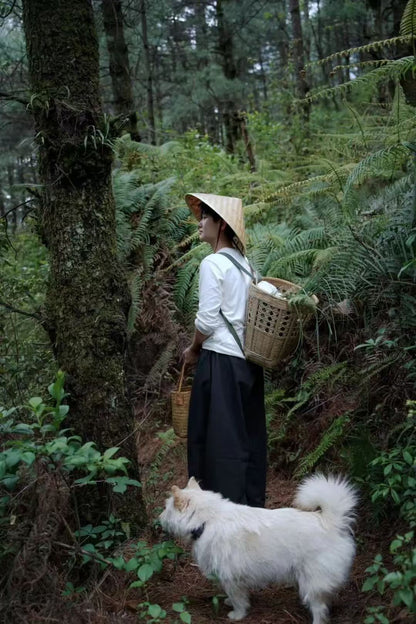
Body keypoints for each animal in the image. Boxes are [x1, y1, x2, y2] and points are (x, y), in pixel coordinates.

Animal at [160, 472, 358, 624]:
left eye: (167, 508)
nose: (159, 518)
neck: (207, 520)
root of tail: (332, 522)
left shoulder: (231, 578)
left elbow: (238, 600)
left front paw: (237, 615)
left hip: (313, 580)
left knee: (320, 609)